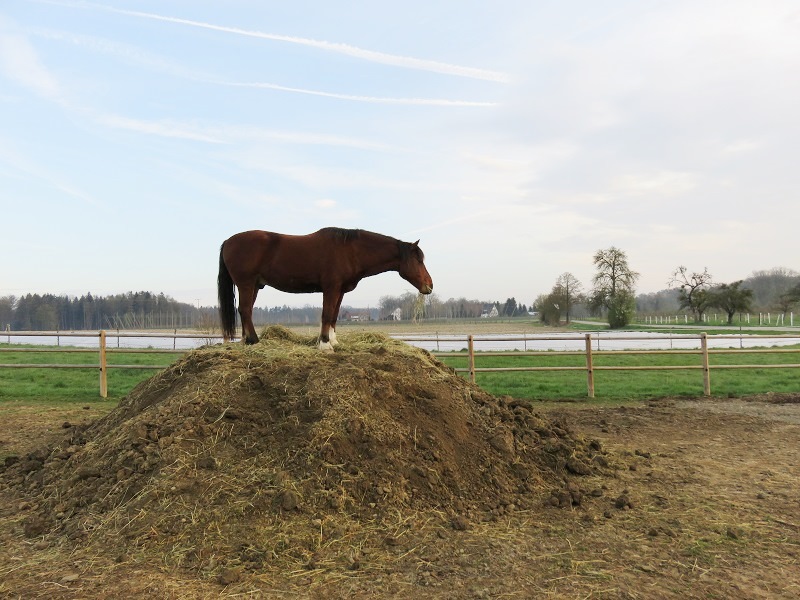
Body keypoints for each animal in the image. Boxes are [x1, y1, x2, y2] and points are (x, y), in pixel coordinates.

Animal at [218, 227, 433, 350]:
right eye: (419, 260)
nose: (429, 286)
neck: (350, 251)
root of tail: (228, 241)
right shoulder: (331, 288)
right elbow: (326, 314)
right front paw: (324, 344)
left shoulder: (340, 291)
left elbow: (334, 316)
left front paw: (333, 341)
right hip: (246, 284)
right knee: (245, 310)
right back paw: (254, 341)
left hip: (255, 285)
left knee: (245, 311)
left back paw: (246, 340)